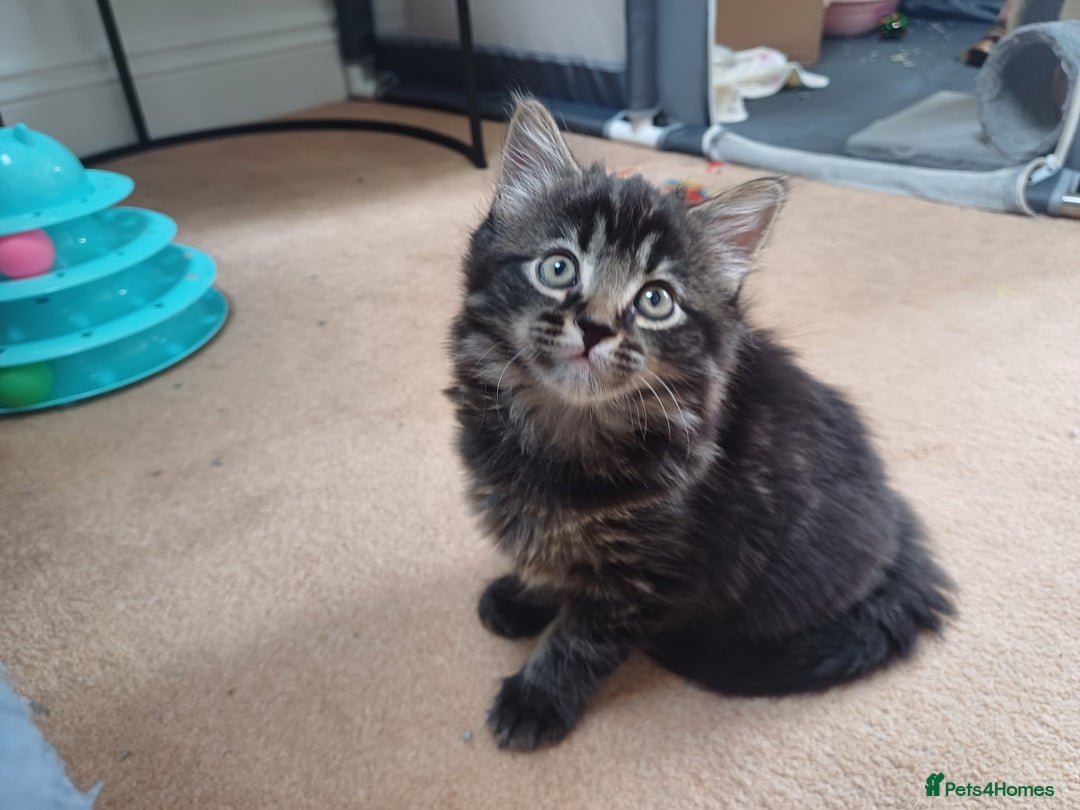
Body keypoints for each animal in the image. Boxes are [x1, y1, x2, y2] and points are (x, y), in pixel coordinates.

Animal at [447, 99, 953, 751]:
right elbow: (546, 557)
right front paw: (523, 596)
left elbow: (577, 642)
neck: (563, 432)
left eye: (656, 299)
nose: (595, 327)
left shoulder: (644, 576)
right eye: (558, 268)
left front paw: (536, 700)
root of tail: (897, 525)